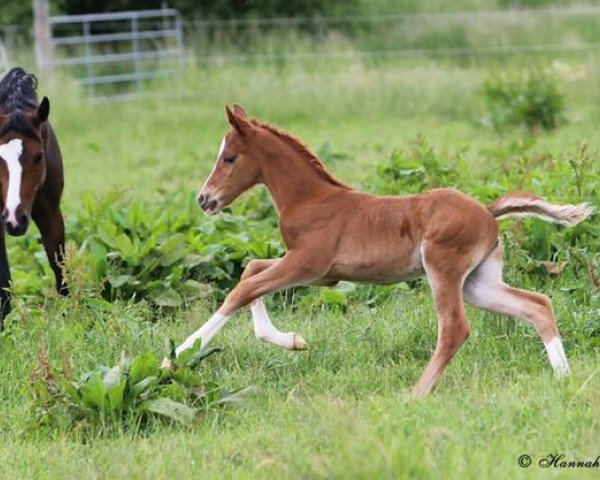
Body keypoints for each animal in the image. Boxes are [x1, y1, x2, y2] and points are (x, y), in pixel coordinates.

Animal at [169, 105, 592, 398]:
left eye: (229, 157)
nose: (204, 199)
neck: (310, 199)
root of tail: (488, 212)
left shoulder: (307, 263)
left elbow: (243, 288)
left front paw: (176, 356)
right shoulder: (322, 273)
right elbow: (251, 270)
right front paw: (293, 340)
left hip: (443, 270)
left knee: (455, 327)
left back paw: (416, 393)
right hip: (478, 283)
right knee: (536, 305)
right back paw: (564, 377)